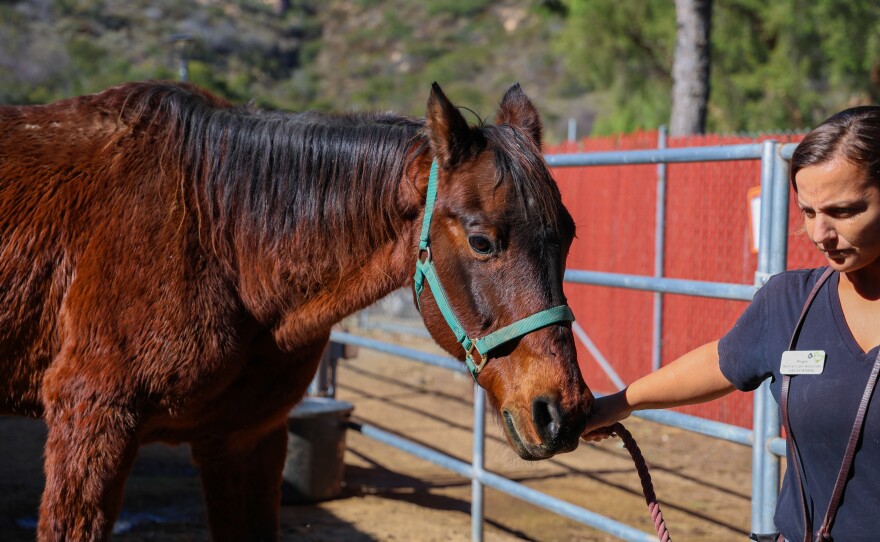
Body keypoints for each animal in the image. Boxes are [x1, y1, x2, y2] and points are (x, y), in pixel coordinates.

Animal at [1, 82, 592, 542]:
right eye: (481, 241)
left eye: (568, 237)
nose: (561, 412)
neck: (215, 232)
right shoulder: (91, 423)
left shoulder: (246, 439)